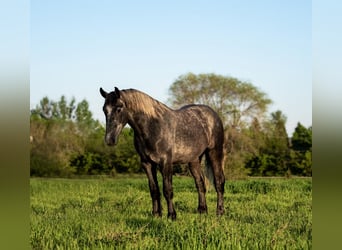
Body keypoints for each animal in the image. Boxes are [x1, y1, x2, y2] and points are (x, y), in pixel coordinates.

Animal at [100, 87, 226, 220]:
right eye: (104, 110)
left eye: (119, 108)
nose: (109, 140)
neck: (153, 127)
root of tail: (213, 114)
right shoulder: (147, 164)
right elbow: (154, 189)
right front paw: (156, 214)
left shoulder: (165, 163)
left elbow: (167, 190)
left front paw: (171, 215)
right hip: (194, 160)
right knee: (200, 183)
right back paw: (202, 211)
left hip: (215, 153)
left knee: (219, 182)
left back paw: (220, 212)